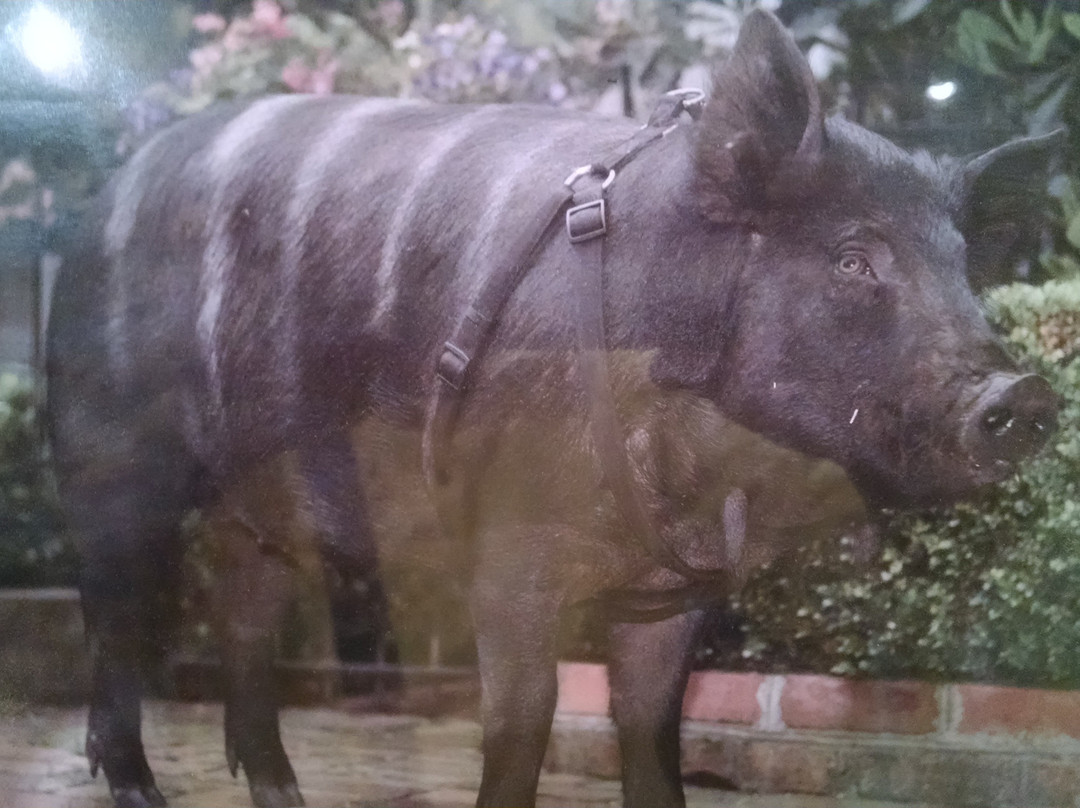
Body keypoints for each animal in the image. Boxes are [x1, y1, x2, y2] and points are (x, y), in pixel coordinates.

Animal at [46, 10, 1061, 808]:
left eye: (962, 269)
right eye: (854, 258)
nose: (1026, 394)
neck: (713, 468)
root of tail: (108, 193)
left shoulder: (671, 593)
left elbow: (652, 733)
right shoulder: (507, 552)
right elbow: (520, 730)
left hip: (260, 506)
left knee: (243, 620)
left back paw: (283, 793)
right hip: (108, 459)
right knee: (115, 623)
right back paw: (138, 789)